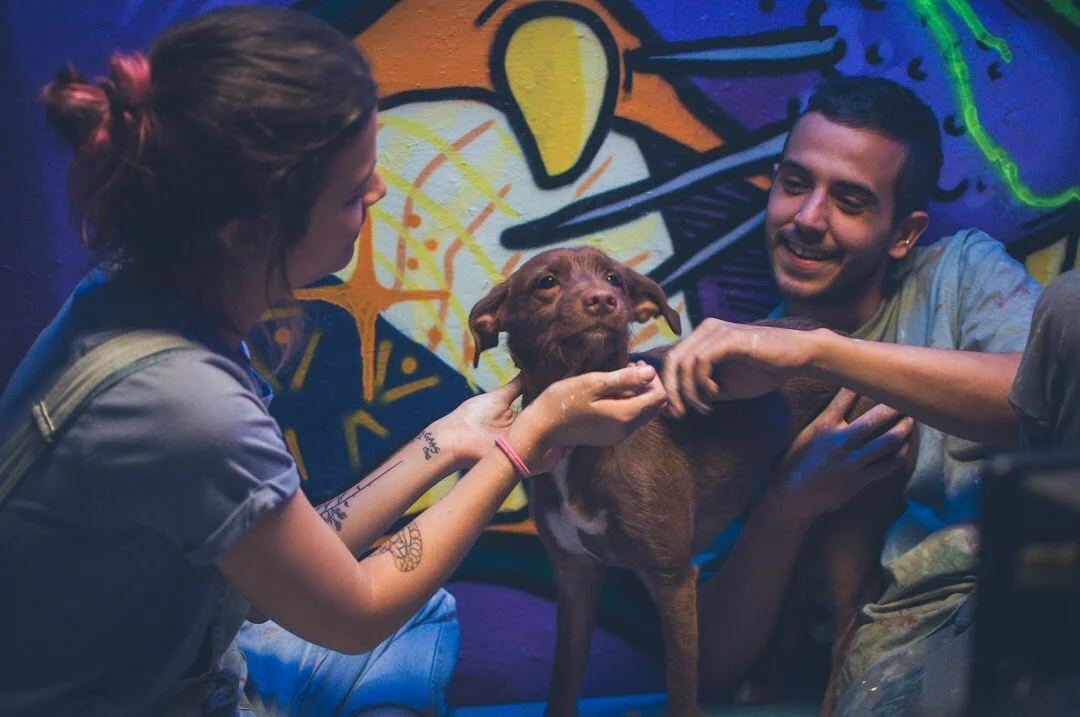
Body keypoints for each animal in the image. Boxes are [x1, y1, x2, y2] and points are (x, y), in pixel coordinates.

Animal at [468, 246, 912, 717]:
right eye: (546, 282)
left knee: (848, 621)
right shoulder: (574, 576)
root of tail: (861, 344)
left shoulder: (673, 579)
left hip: (851, 522)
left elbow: (681, 688)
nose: (604, 300)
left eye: (614, 279)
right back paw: (766, 682)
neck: (584, 442)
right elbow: (563, 681)